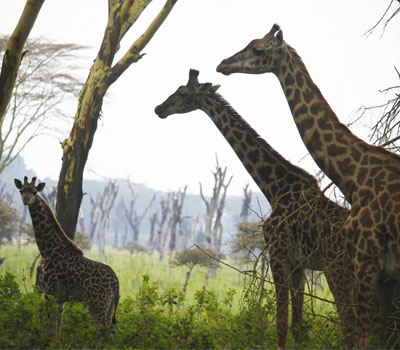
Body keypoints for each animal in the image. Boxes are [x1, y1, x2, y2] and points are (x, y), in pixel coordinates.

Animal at [14, 176, 120, 330]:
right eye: (21, 191)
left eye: (34, 192)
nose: (26, 199)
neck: (48, 249)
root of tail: (116, 282)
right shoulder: (60, 298)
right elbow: (57, 327)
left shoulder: (50, 292)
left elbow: (50, 327)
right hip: (109, 306)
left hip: (98, 305)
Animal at [156, 69, 356, 350]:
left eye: (183, 93)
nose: (159, 109)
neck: (276, 187)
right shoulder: (298, 264)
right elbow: (298, 326)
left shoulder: (278, 254)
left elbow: (281, 324)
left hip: (338, 270)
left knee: (351, 325)